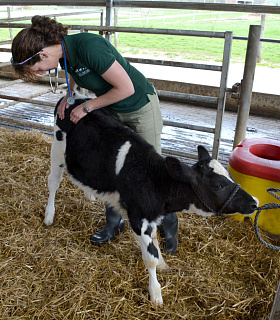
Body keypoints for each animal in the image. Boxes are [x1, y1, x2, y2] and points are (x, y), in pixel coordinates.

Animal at [44, 97, 258, 304]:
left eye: (229, 176)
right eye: (218, 185)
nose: (254, 202)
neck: (154, 180)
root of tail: (73, 98)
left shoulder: (152, 216)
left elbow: (155, 243)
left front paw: (163, 263)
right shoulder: (139, 219)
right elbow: (150, 258)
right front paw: (156, 293)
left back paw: (89, 196)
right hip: (57, 151)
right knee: (53, 182)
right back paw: (49, 216)